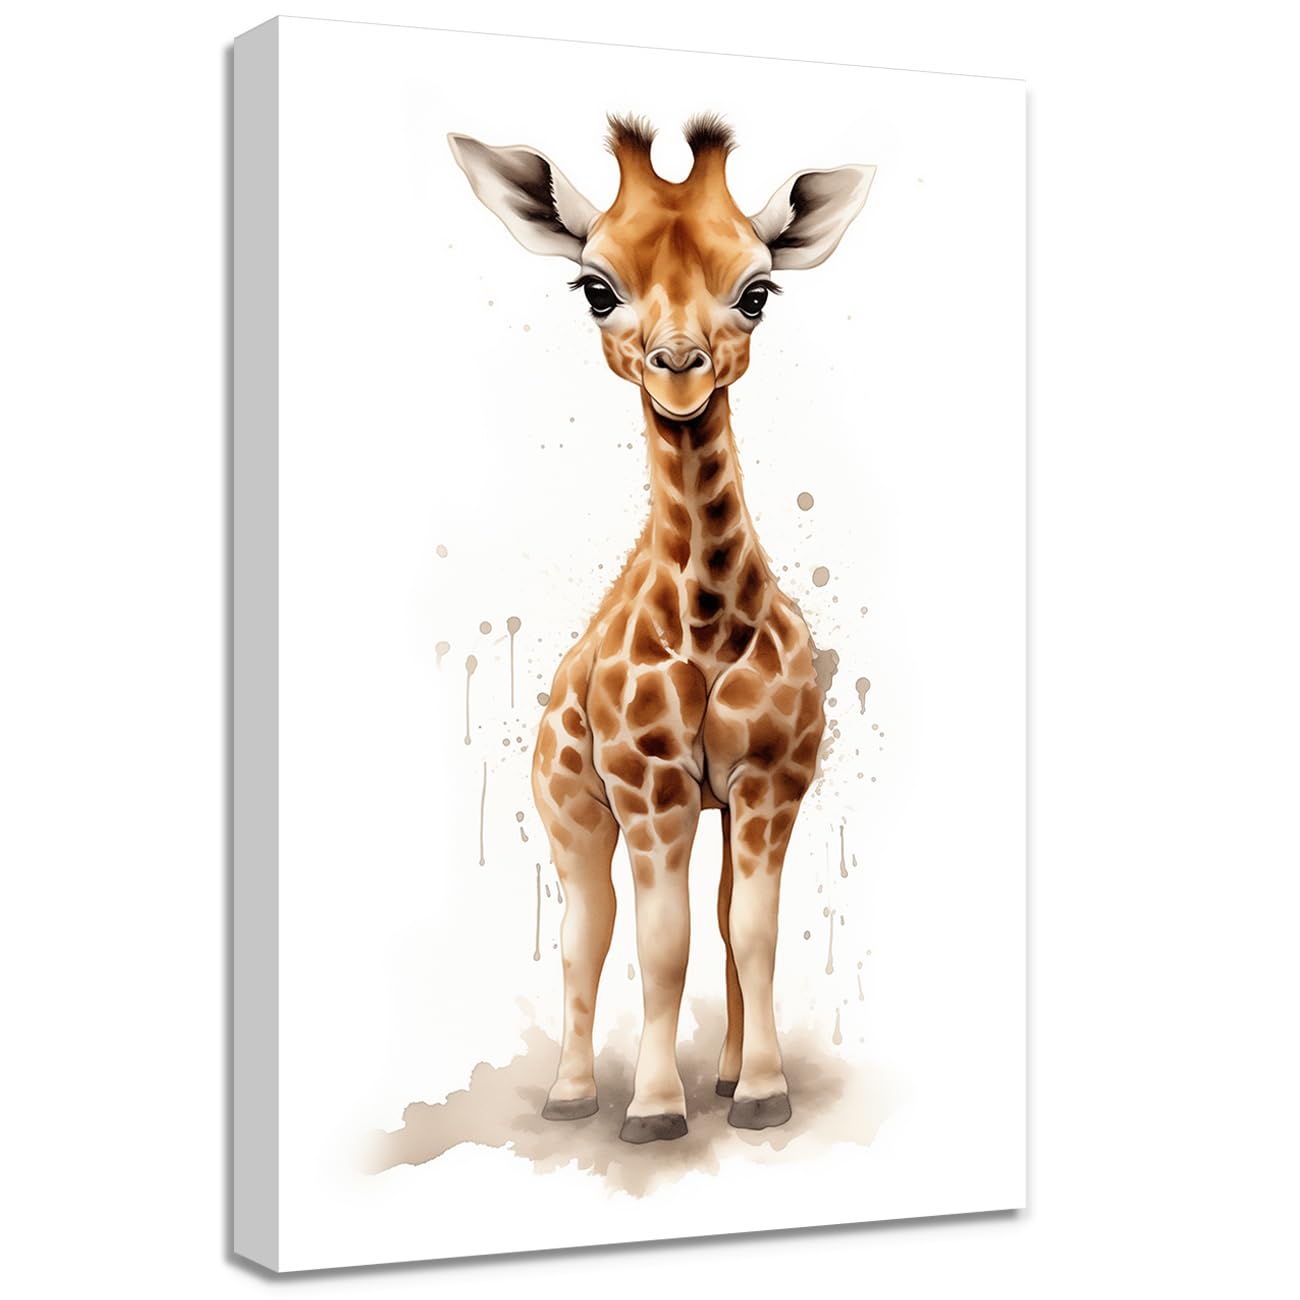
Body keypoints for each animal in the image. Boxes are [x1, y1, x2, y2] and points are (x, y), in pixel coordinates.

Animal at [449, 113, 873, 1143]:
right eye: (596, 287)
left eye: (757, 292)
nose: (678, 371)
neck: (712, 617)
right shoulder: (648, 785)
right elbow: (659, 941)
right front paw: (649, 1109)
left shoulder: (769, 780)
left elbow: (747, 933)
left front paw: (758, 1095)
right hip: (569, 805)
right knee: (584, 932)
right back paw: (571, 1095)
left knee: (712, 923)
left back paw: (717, 1078)